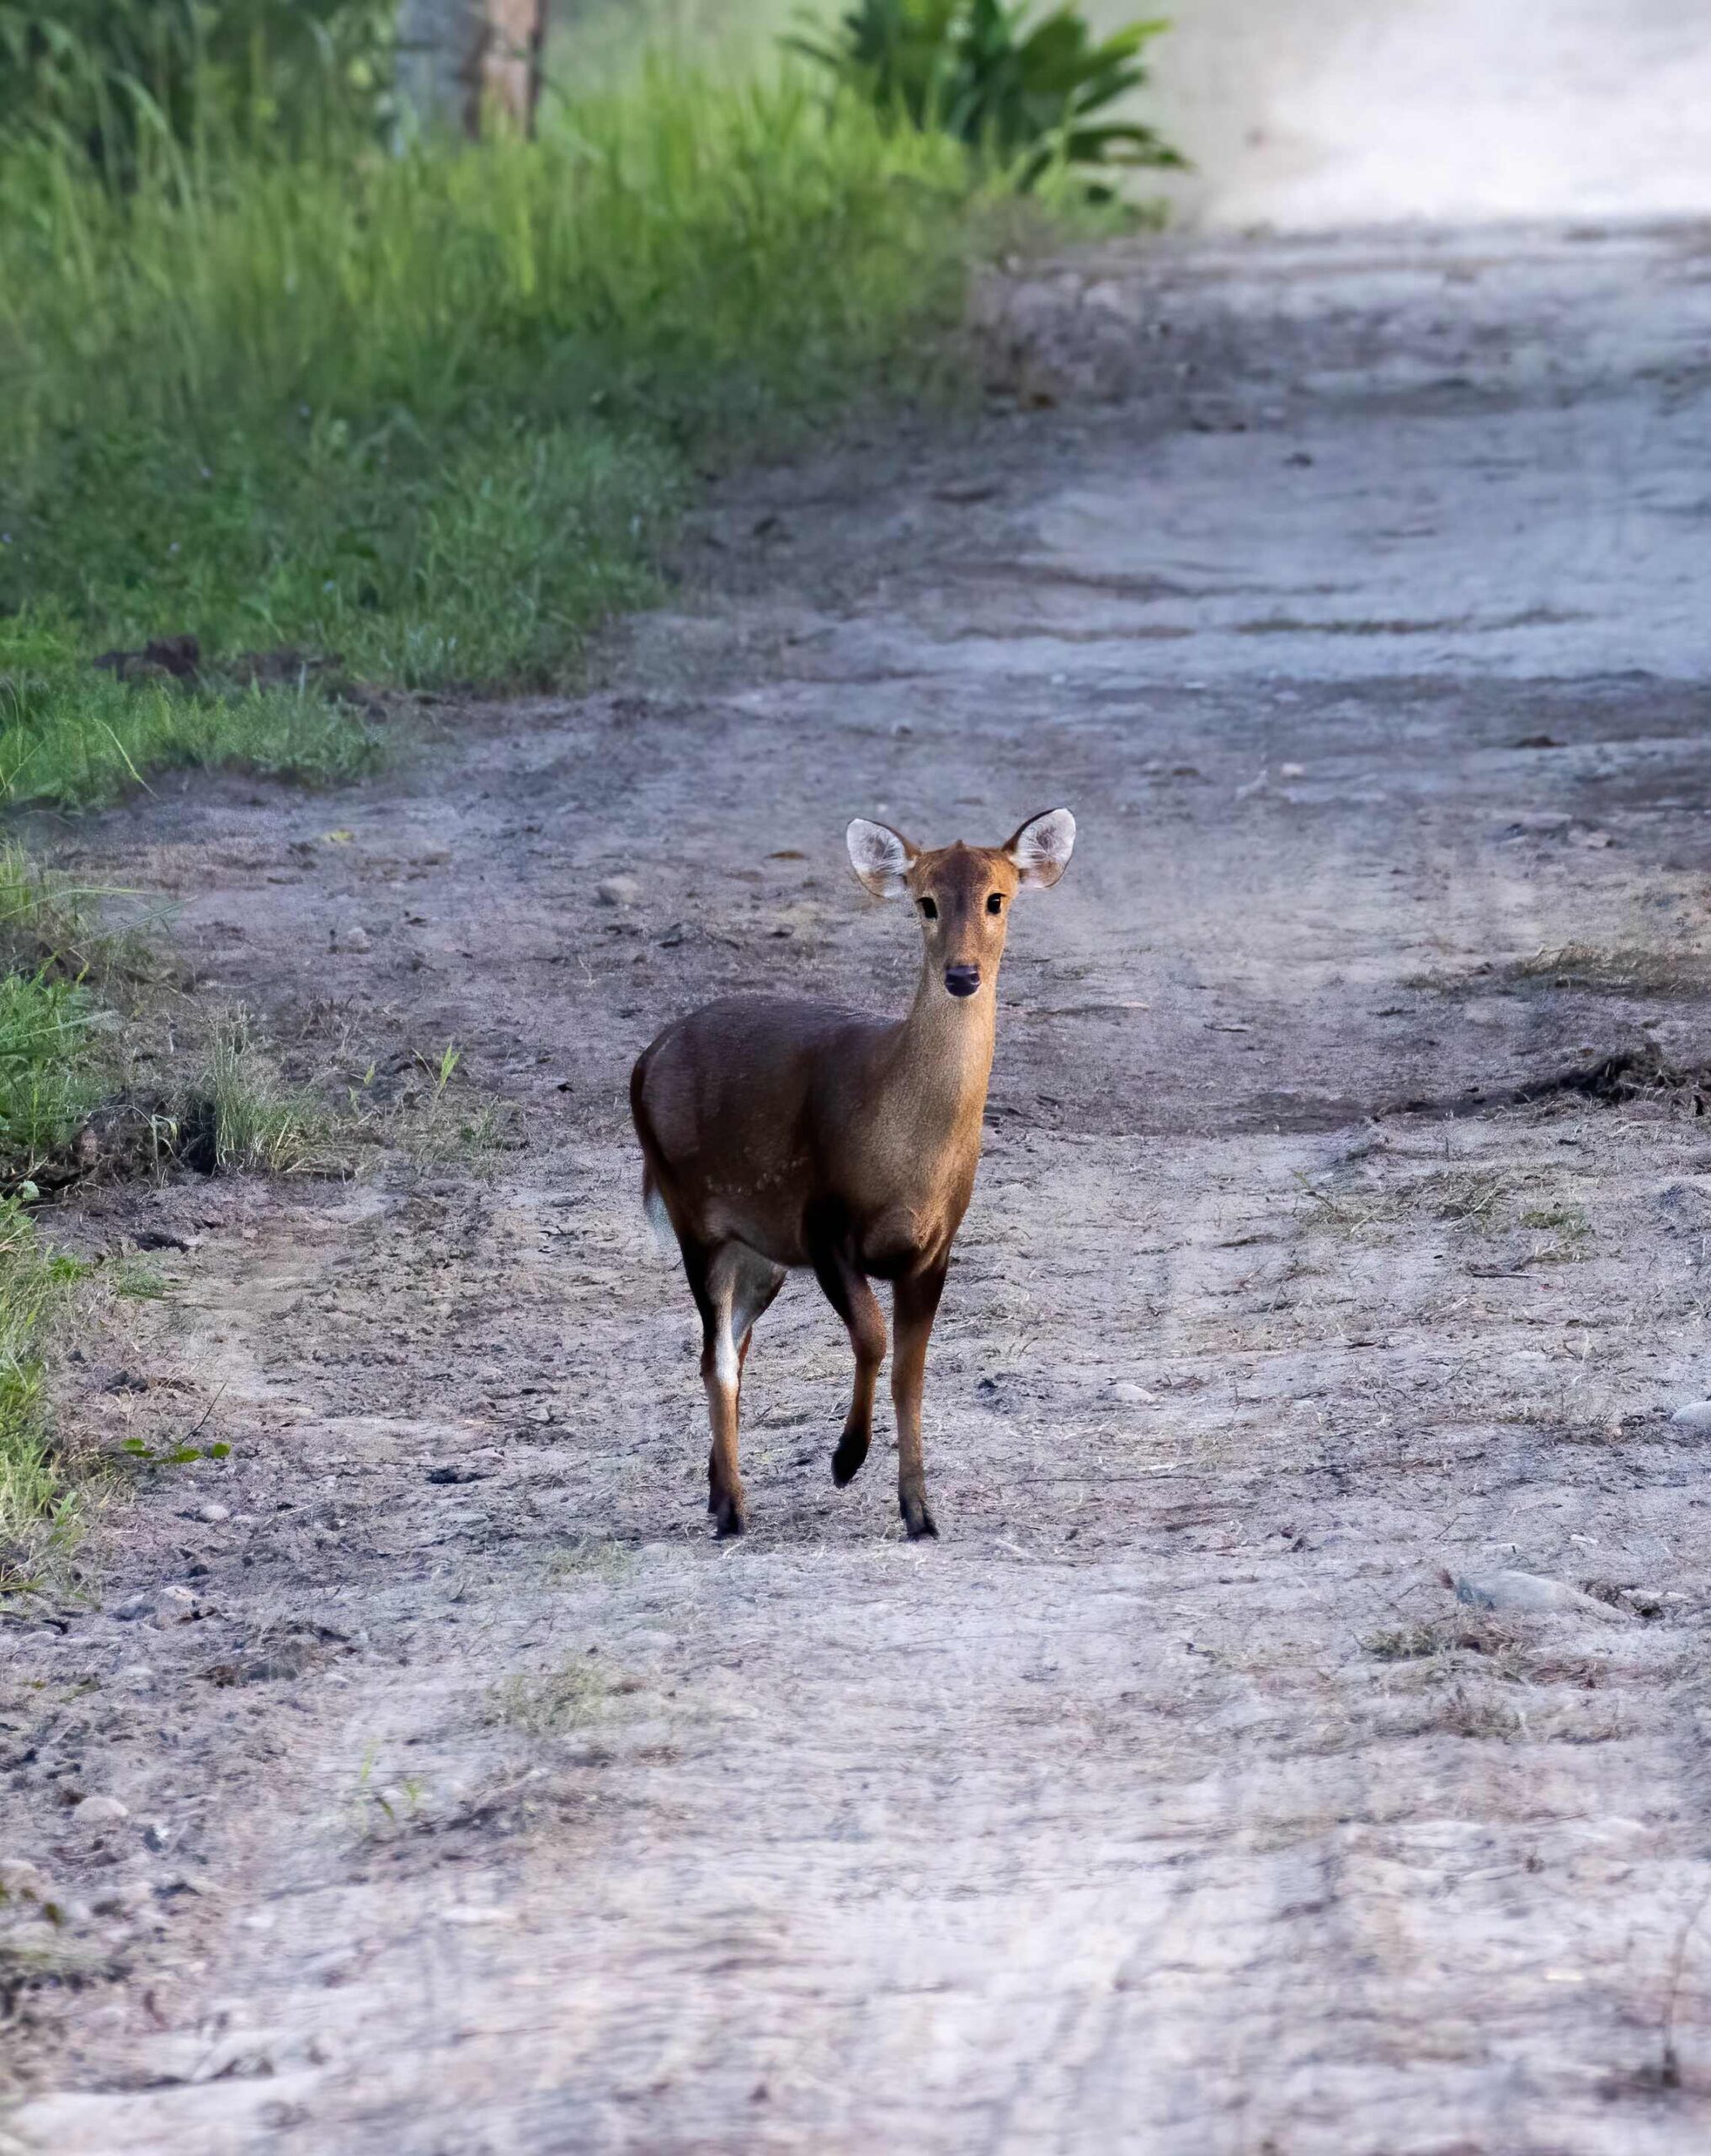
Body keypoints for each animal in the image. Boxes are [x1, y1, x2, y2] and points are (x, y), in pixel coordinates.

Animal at [629, 806, 1069, 1534]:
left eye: (996, 899)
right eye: (925, 902)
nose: (962, 974)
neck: (907, 1156)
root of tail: (645, 1060)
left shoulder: (936, 1247)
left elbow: (910, 1373)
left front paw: (920, 1511)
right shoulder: (824, 1224)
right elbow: (872, 1338)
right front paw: (844, 1460)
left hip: (761, 1252)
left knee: (727, 1350)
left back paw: (720, 1492)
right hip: (696, 1217)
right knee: (718, 1357)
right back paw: (734, 1511)